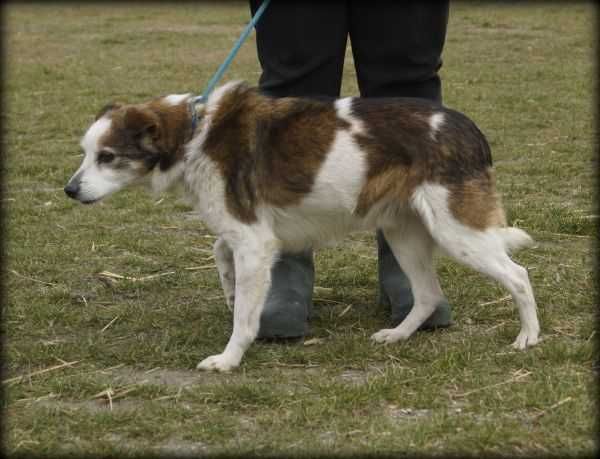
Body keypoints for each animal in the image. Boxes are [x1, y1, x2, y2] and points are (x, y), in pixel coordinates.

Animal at [64, 81, 540, 372]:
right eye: (86, 153)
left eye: (107, 156)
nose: (69, 190)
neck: (194, 136)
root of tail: (468, 129)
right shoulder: (244, 233)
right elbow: (220, 255)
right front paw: (230, 289)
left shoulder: (254, 242)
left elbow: (244, 317)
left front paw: (229, 358)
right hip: (404, 234)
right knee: (427, 295)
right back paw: (398, 335)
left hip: (458, 233)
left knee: (518, 275)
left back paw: (528, 337)